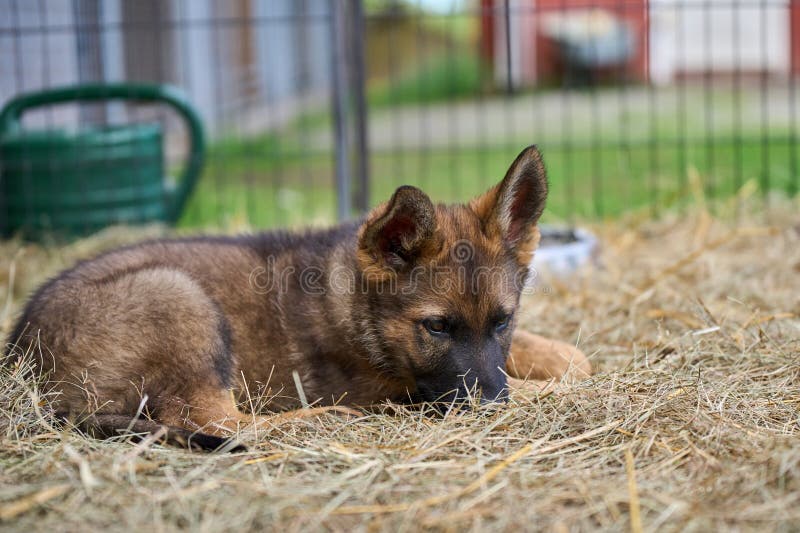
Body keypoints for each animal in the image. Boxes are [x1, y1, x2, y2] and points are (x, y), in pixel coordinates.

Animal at [3, 145, 592, 448]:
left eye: (502, 321)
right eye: (437, 327)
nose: (492, 408)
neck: (357, 312)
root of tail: (22, 366)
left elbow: (566, 361)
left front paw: (564, 358)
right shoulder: (416, 391)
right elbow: (543, 388)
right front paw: (551, 390)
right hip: (177, 295)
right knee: (212, 419)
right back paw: (320, 418)